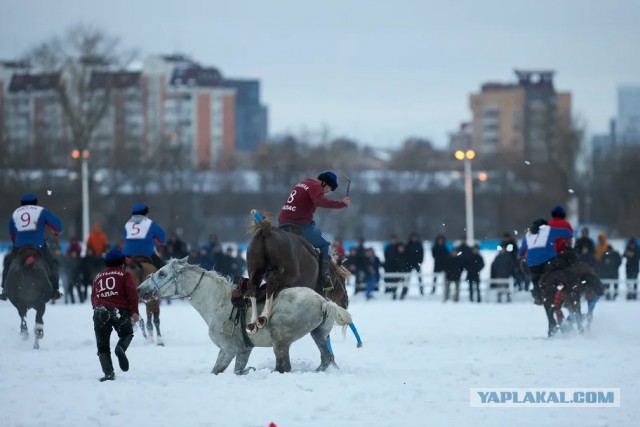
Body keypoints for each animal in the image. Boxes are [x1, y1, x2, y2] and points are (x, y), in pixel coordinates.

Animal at [137, 258, 352, 374]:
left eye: (162, 274)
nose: (140, 289)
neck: (218, 301)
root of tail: (324, 302)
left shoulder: (228, 349)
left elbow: (216, 371)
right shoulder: (243, 350)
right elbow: (238, 370)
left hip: (280, 340)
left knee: (283, 366)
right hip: (319, 334)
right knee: (327, 357)